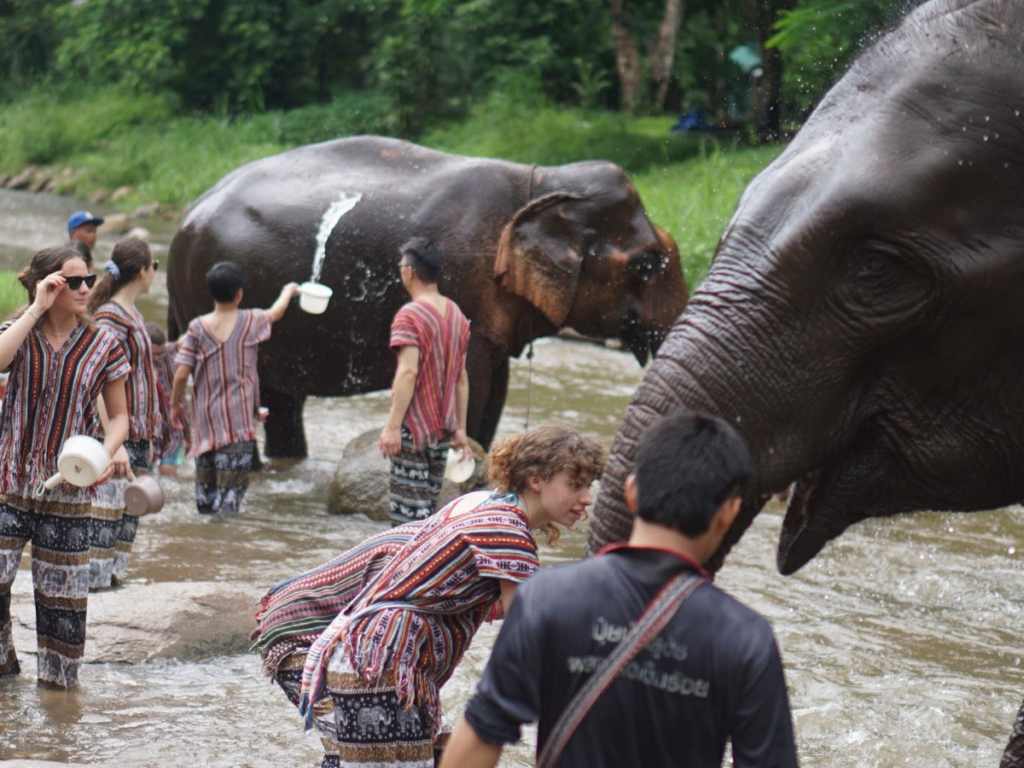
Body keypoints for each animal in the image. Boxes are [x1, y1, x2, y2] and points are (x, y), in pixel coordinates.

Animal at [167, 136, 688, 458]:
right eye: (645, 265)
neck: (544, 183)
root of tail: (187, 214)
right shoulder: (464, 285)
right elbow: (473, 385)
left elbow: (494, 392)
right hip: (203, 299)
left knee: (282, 400)